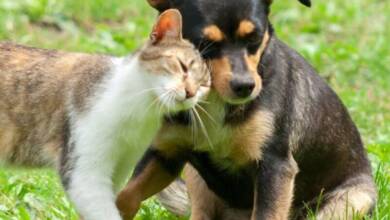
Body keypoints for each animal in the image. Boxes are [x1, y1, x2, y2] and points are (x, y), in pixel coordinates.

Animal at [0, 9, 210, 220]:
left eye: (203, 85)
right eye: (182, 66)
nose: (191, 92)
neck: (140, 111)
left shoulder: (120, 165)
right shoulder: (85, 173)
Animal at [116, 0, 378, 219]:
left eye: (255, 37)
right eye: (204, 44)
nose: (245, 86)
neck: (214, 99)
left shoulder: (275, 166)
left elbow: (267, 214)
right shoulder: (166, 154)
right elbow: (125, 196)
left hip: (348, 202)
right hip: (195, 179)